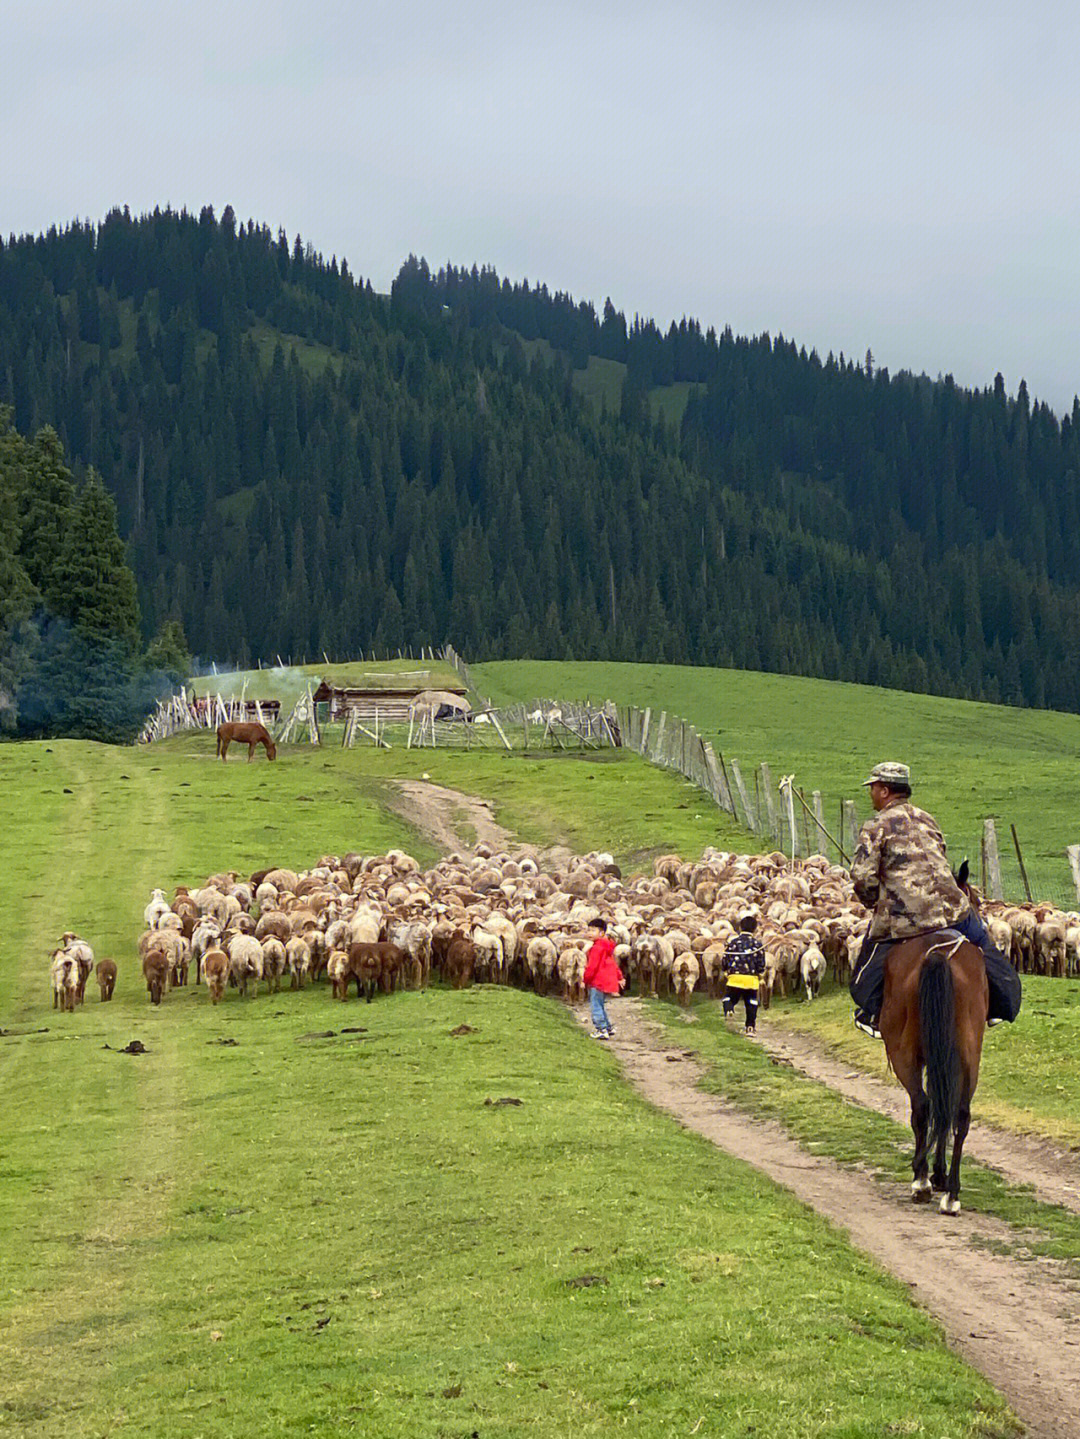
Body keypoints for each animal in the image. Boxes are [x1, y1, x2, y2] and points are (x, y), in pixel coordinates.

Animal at [880, 863, 989, 1214]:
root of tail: (939, 954)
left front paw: (930, 1174)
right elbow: (948, 1106)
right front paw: (940, 1175)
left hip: (903, 1052)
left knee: (923, 1106)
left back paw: (922, 1182)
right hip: (969, 1051)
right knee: (959, 1112)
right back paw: (951, 1194)